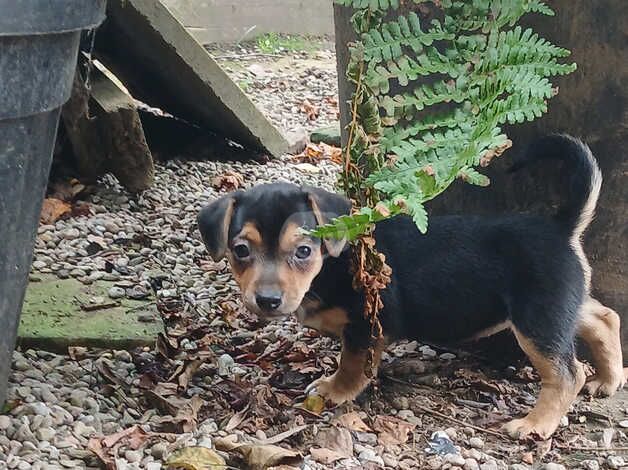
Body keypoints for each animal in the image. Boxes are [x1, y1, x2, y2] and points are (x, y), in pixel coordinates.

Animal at [199, 134, 624, 438]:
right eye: (240, 250)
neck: (333, 261)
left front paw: (334, 391)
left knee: (567, 373)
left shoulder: (366, 325)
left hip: (537, 317)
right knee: (605, 318)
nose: (267, 300)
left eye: (303, 250)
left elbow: (351, 365)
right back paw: (609, 379)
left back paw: (536, 424)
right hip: (562, 304)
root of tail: (560, 227)